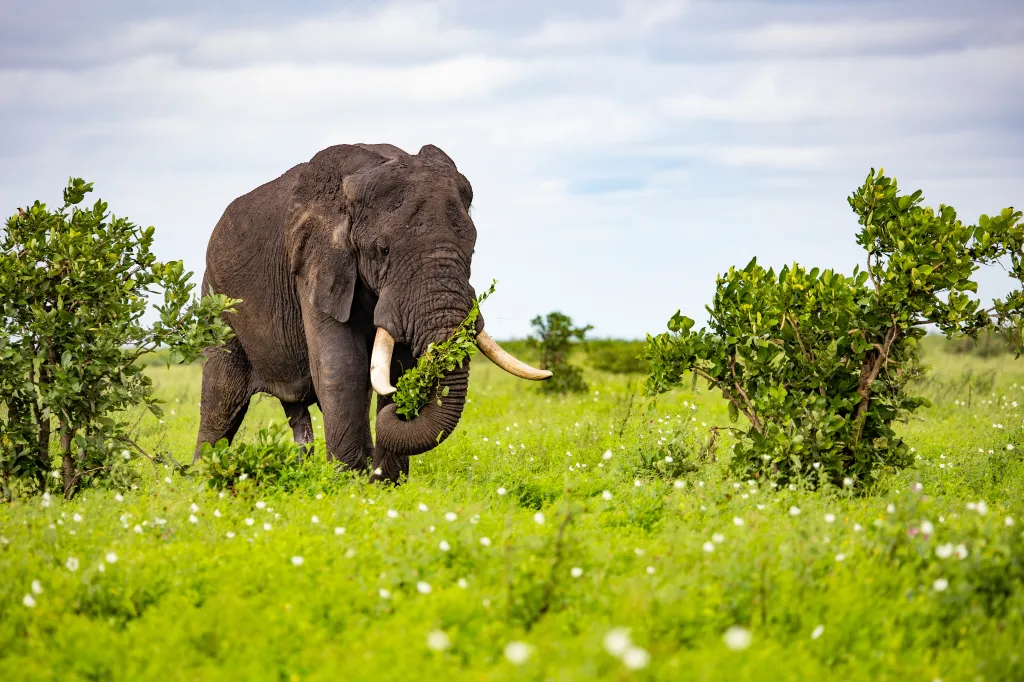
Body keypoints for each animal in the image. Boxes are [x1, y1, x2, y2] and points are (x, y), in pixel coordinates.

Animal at [192, 142, 551, 482]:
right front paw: (350, 485)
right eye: (383, 250)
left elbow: (397, 367)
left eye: (472, 250)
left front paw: (385, 484)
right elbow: (342, 369)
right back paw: (201, 477)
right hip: (216, 301)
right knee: (222, 398)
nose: (402, 413)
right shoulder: (315, 267)